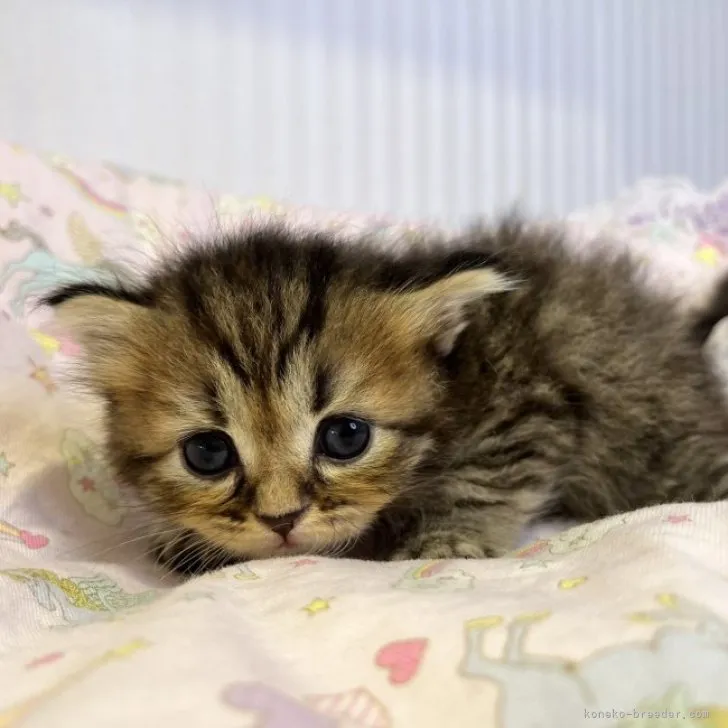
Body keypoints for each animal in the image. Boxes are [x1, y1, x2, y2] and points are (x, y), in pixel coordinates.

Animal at [44, 222, 728, 576]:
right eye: (208, 454)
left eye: (345, 437)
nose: (281, 520)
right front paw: (186, 538)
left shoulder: (527, 395)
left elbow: (486, 477)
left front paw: (446, 539)